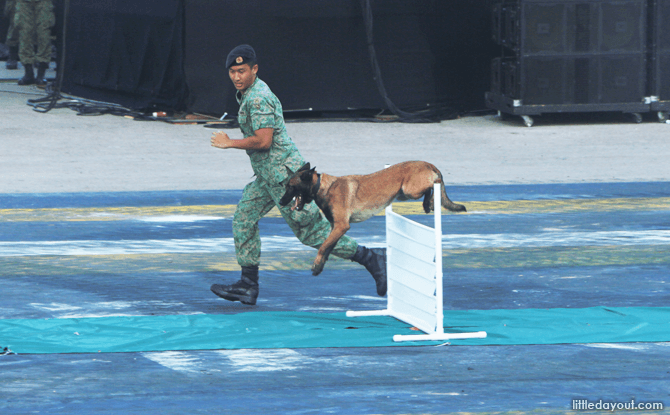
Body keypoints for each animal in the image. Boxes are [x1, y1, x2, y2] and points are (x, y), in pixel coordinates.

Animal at [280, 161, 468, 278]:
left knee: (432, 185)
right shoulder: (336, 228)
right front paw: (320, 266)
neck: (322, 186)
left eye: (291, 187)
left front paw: (317, 263)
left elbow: (323, 247)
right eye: (286, 186)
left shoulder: (341, 226)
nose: (281, 202)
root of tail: (426, 163)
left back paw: (428, 203)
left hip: (409, 190)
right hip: (404, 193)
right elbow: (328, 247)